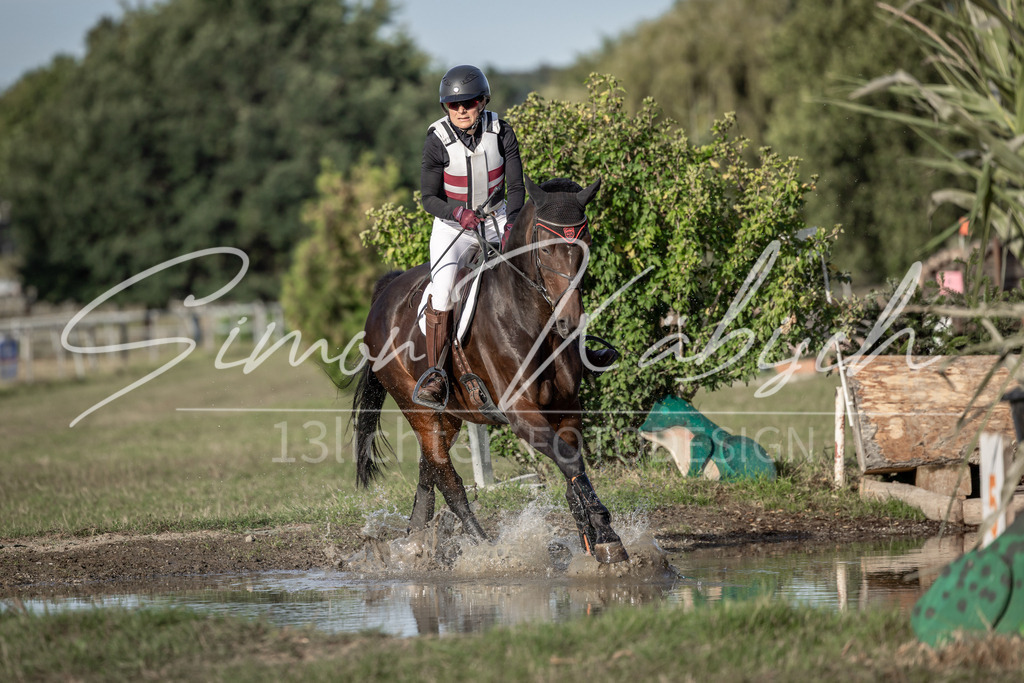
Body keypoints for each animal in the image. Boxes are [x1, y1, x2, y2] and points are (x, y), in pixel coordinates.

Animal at [351, 176, 628, 564]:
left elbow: (574, 469)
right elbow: (570, 463)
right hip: (417, 407)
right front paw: (606, 535)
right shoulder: (522, 413)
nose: (569, 322)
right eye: (544, 250)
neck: (532, 319)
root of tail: (384, 296)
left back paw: (415, 544)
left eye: (585, 243)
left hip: (449, 415)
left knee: (428, 475)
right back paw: (487, 552)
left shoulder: (567, 408)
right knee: (448, 482)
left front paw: (594, 537)